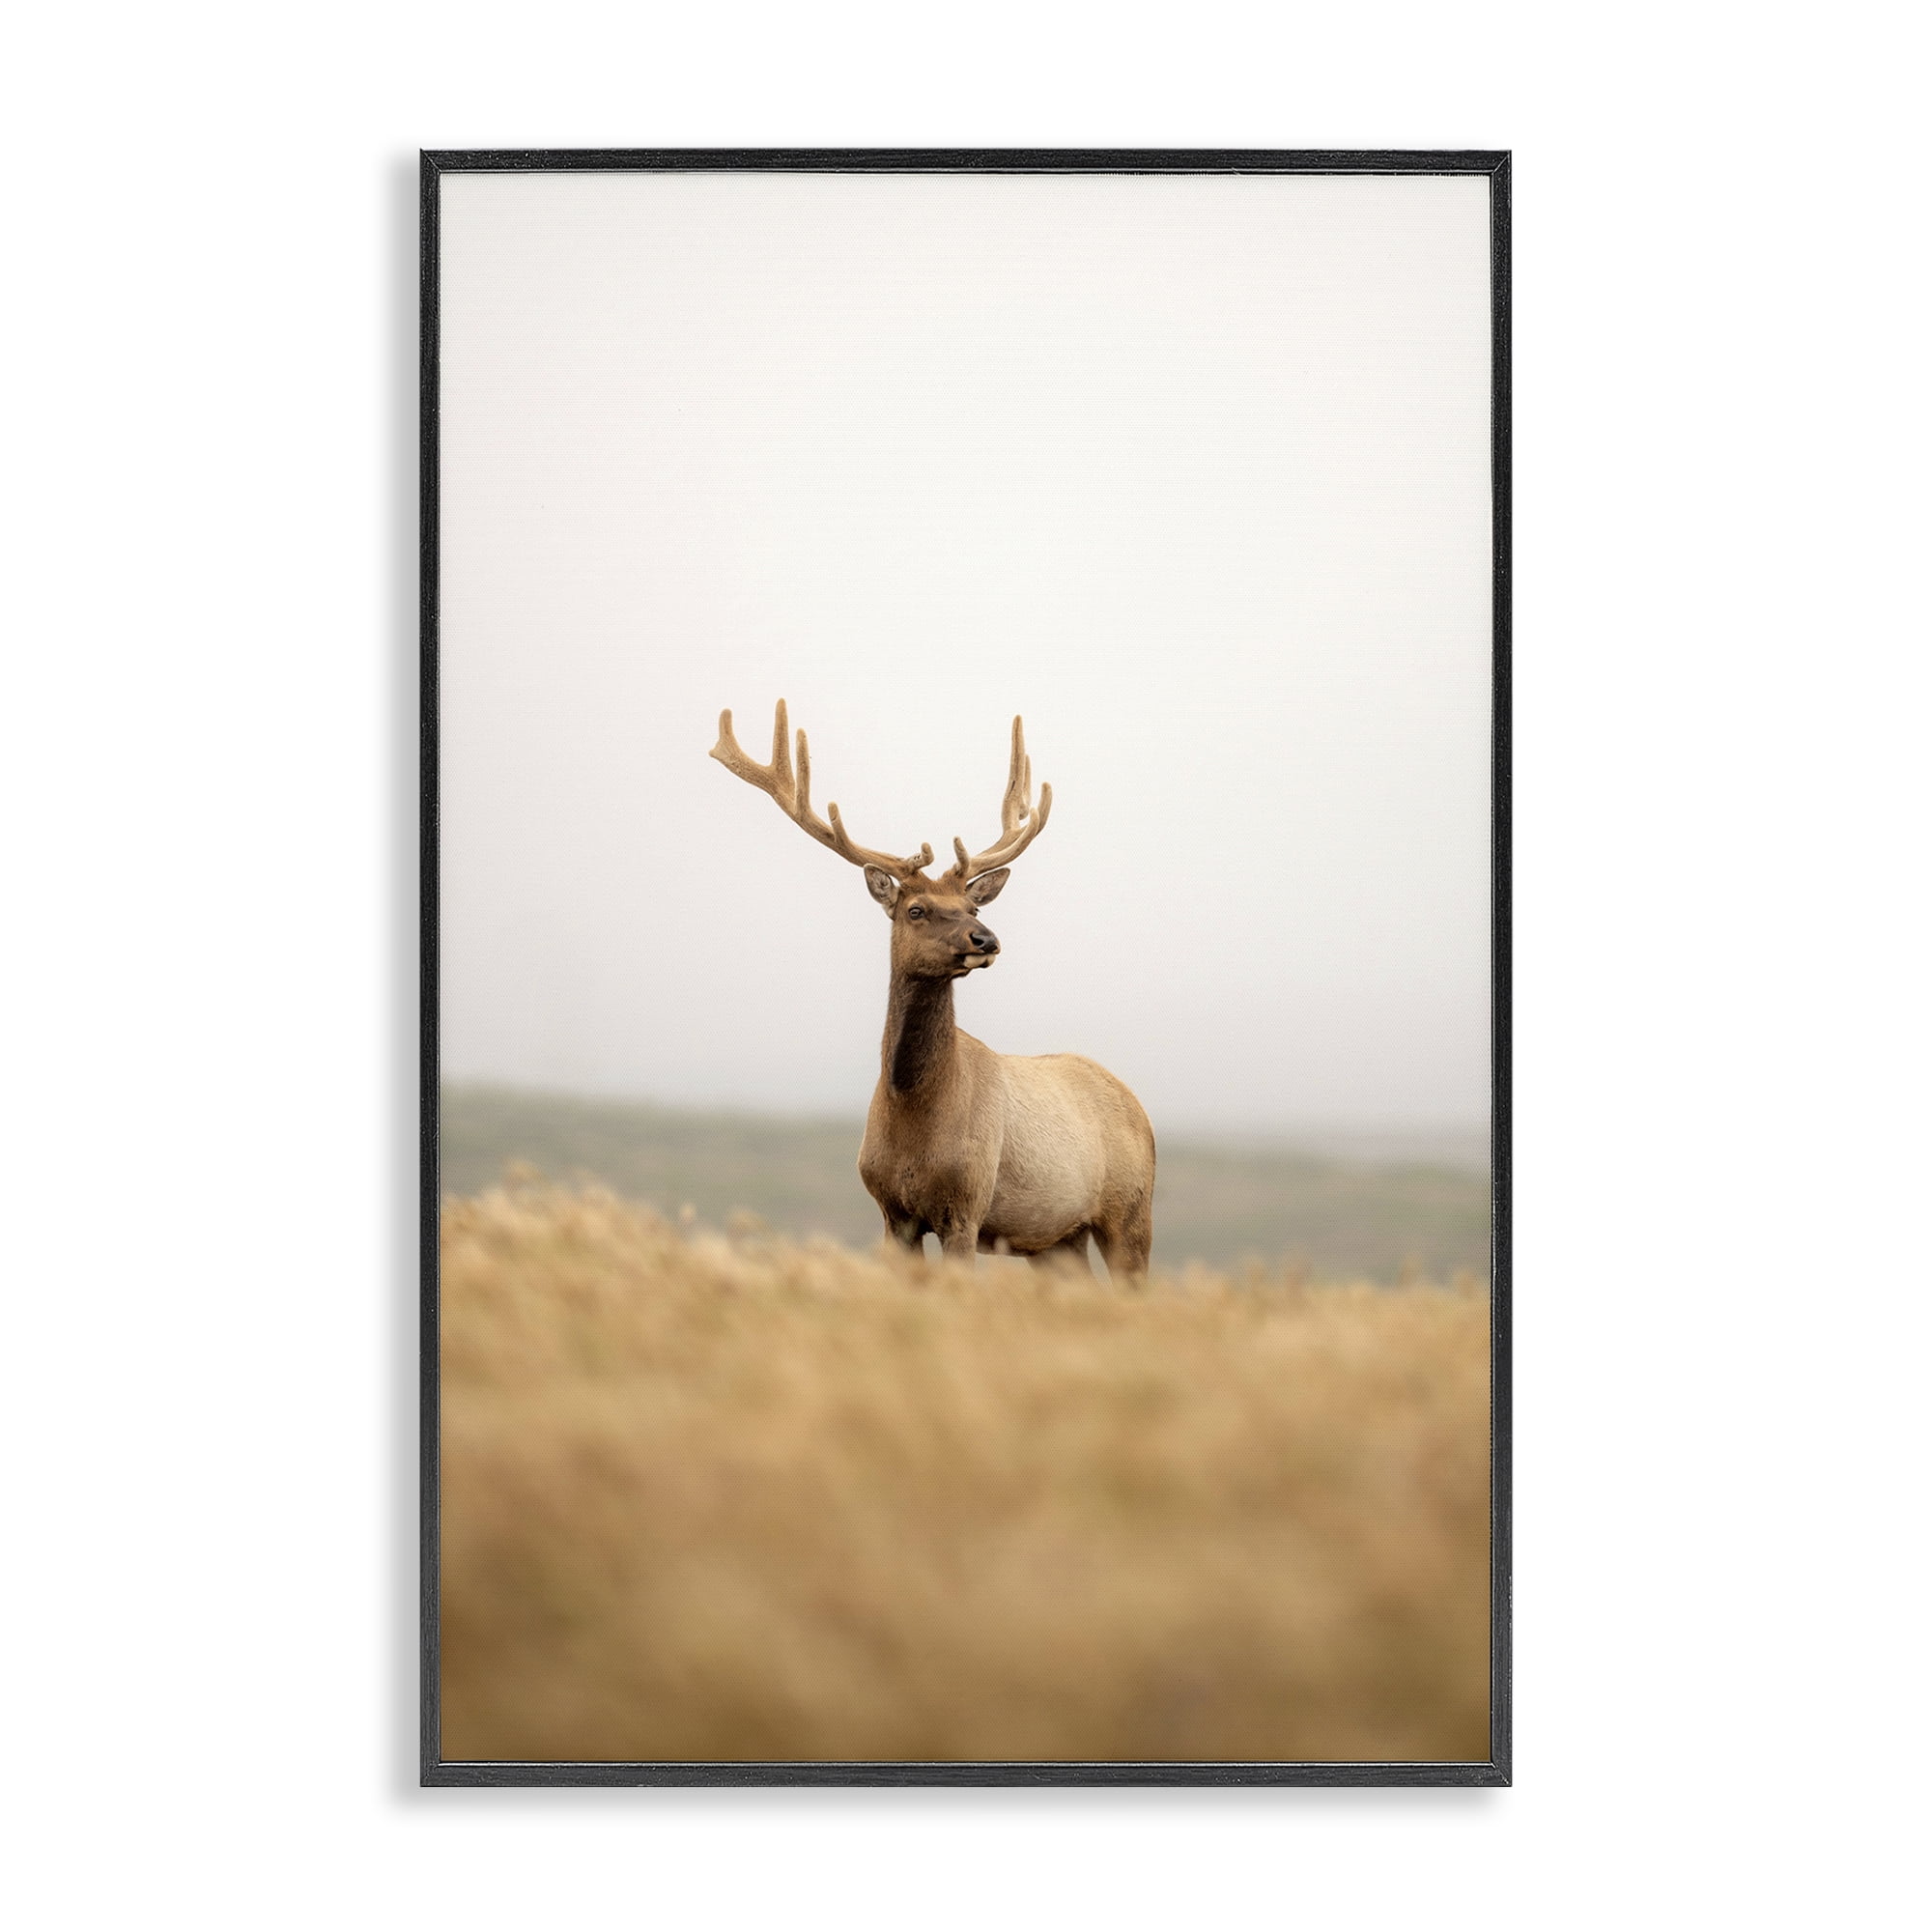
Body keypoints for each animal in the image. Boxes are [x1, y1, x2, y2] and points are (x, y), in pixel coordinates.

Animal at [711, 701, 1155, 1278]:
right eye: (916, 909)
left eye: (972, 906)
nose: (986, 939)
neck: (914, 1117)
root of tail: (1138, 1106)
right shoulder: (891, 1211)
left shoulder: (966, 1204)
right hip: (1056, 1239)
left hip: (1131, 1210)